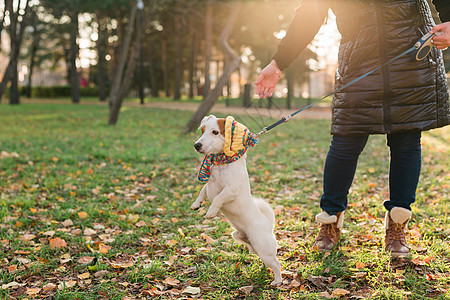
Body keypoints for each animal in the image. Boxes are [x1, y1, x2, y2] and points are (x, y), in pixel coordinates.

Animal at [190, 115, 282, 286]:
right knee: (267, 261)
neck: (221, 163)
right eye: (202, 130)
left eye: (215, 132)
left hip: (264, 248)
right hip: (243, 240)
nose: (196, 145)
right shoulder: (209, 186)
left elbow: (218, 198)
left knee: (277, 264)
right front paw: (196, 204)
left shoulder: (230, 190)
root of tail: (268, 225)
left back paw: (277, 281)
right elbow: (202, 192)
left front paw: (211, 212)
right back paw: (263, 269)